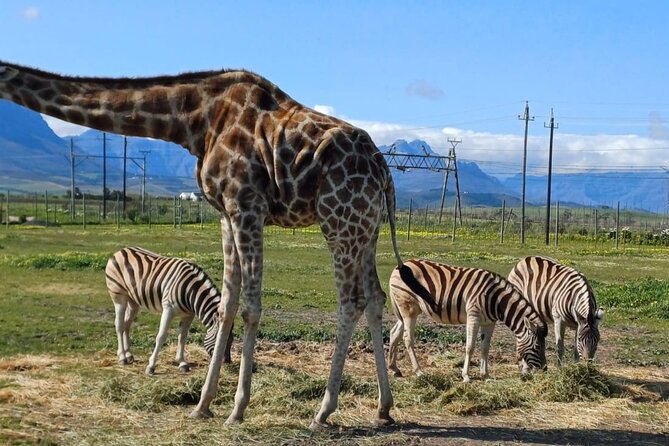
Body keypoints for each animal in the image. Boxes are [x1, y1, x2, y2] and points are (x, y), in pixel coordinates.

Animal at [0, 61, 405, 428]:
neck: (194, 120)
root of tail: (383, 169)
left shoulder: (246, 205)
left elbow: (251, 307)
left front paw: (237, 410)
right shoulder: (225, 214)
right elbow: (226, 304)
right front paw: (202, 404)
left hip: (337, 220)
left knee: (350, 302)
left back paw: (323, 411)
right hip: (366, 228)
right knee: (374, 298)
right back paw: (384, 408)